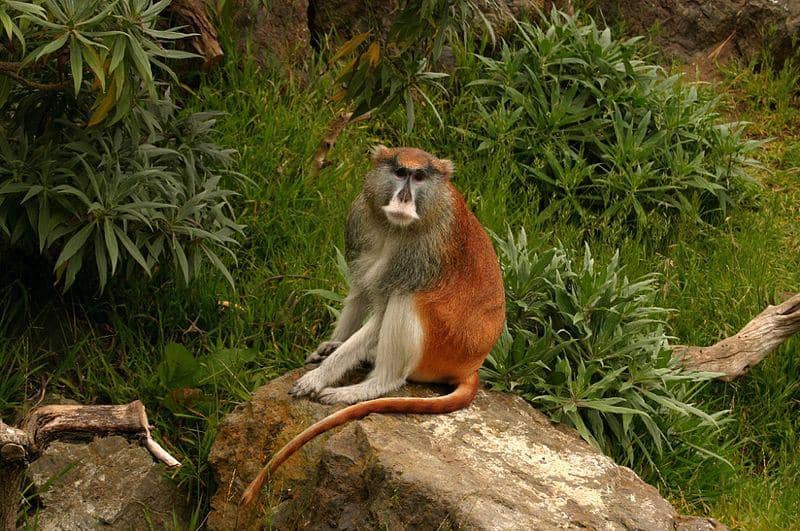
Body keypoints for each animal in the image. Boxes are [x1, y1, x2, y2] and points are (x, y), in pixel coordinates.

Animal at [240, 145, 505, 506]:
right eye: (399, 172)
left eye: (419, 177)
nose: (404, 197)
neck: (397, 226)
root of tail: (471, 365)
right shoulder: (360, 218)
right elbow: (361, 289)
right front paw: (331, 346)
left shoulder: (419, 255)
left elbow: (382, 312)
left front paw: (319, 377)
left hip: (444, 346)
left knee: (407, 299)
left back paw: (373, 384)